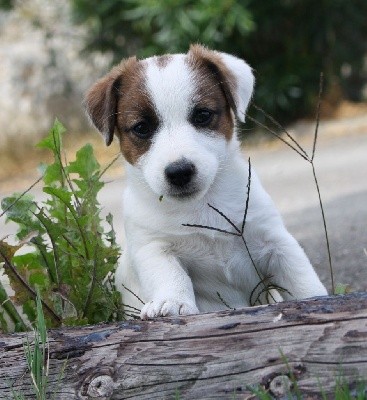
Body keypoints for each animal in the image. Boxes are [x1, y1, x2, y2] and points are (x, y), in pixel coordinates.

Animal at [85, 44, 328, 318]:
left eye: (202, 115)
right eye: (141, 128)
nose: (179, 171)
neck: (201, 206)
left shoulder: (274, 241)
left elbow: (300, 277)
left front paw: (316, 298)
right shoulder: (153, 247)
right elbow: (170, 275)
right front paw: (172, 302)